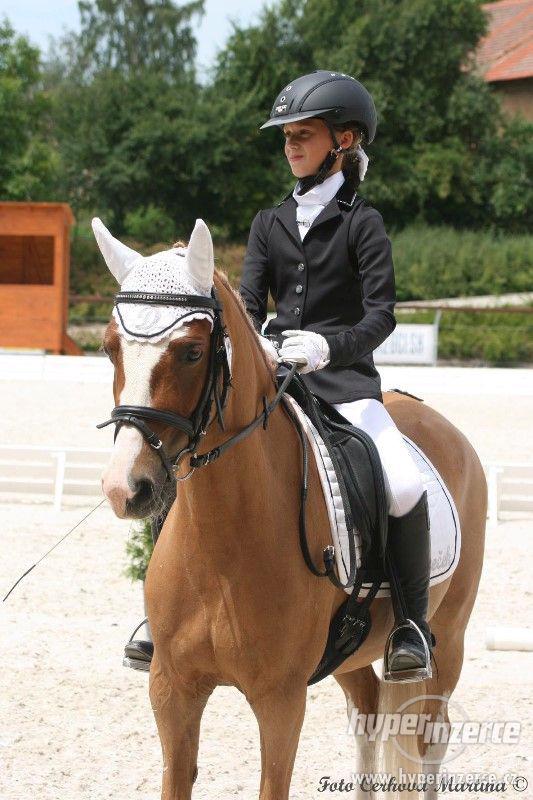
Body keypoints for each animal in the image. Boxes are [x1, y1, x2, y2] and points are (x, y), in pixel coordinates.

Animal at [95, 217, 486, 800]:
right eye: (110, 349)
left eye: (191, 352)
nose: (126, 488)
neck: (221, 548)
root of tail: (443, 427)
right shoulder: (172, 689)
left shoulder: (281, 698)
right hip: (354, 654)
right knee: (368, 716)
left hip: (449, 643)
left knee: (430, 739)